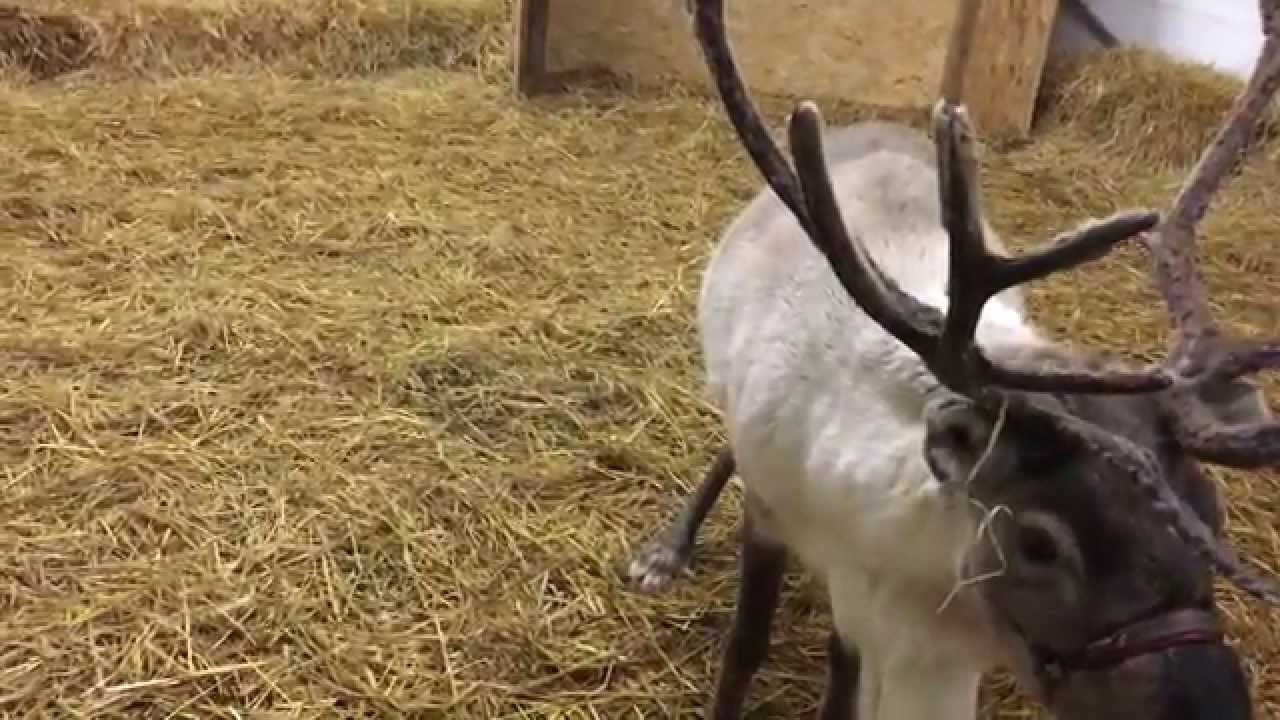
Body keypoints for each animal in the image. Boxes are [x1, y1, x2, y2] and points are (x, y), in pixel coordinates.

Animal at [625, 0, 1280, 718]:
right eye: (1038, 543)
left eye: (1211, 512)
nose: (1215, 707)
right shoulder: (771, 513)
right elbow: (746, 645)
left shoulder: (873, 613)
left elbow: (841, 672)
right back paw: (666, 551)